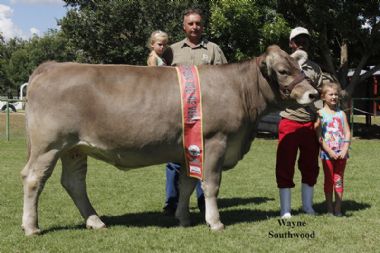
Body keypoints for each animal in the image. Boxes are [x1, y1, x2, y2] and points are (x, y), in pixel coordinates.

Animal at [20, 45, 318, 235]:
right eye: (283, 71)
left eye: (300, 67)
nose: (313, 94)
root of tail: (51, 66)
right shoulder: (215, 141)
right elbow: (211, 184)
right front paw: (215, 222)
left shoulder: (189, 148)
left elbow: (186, 185)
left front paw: (183, 219)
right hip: (48, 145)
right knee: (34, 179)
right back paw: (31, 227)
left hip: (74, 149)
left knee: (74, 182)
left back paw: (95, 221)